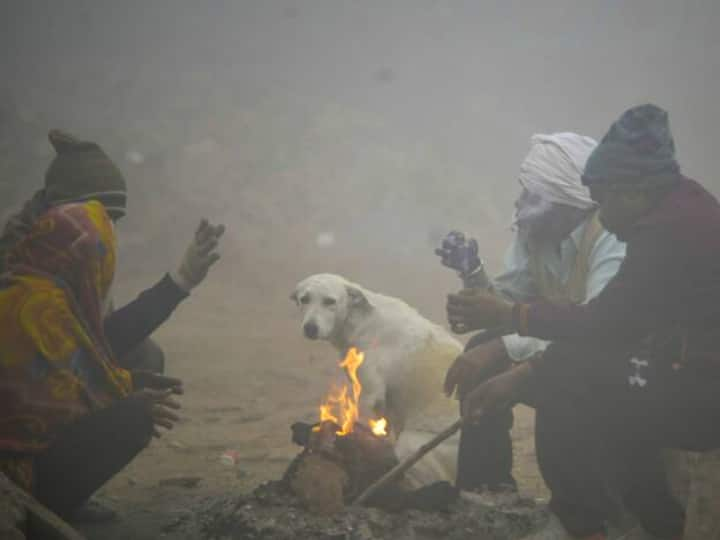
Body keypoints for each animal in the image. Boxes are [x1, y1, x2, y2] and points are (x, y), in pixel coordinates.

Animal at [292, 272, 464, 488]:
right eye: (304, 299)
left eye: (330, 301)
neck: (361, 320)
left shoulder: (370, 395)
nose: (310, 328)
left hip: (412, 446)